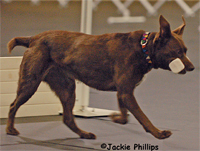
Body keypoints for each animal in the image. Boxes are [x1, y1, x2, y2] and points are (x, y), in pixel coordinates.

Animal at [5, 15, 194, 139]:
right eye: (177, 52)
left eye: (185, 51)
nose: (192, 68)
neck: (143, 48)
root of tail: (33, 38)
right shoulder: (126, 92)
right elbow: (142, 116)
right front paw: (158, 133)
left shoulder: (123, 91)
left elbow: (125, 116)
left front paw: (116, 118)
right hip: (30, 82)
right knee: (13, 105)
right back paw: (10, 130)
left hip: (67, 87)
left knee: (67, 118)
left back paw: (84, 134)